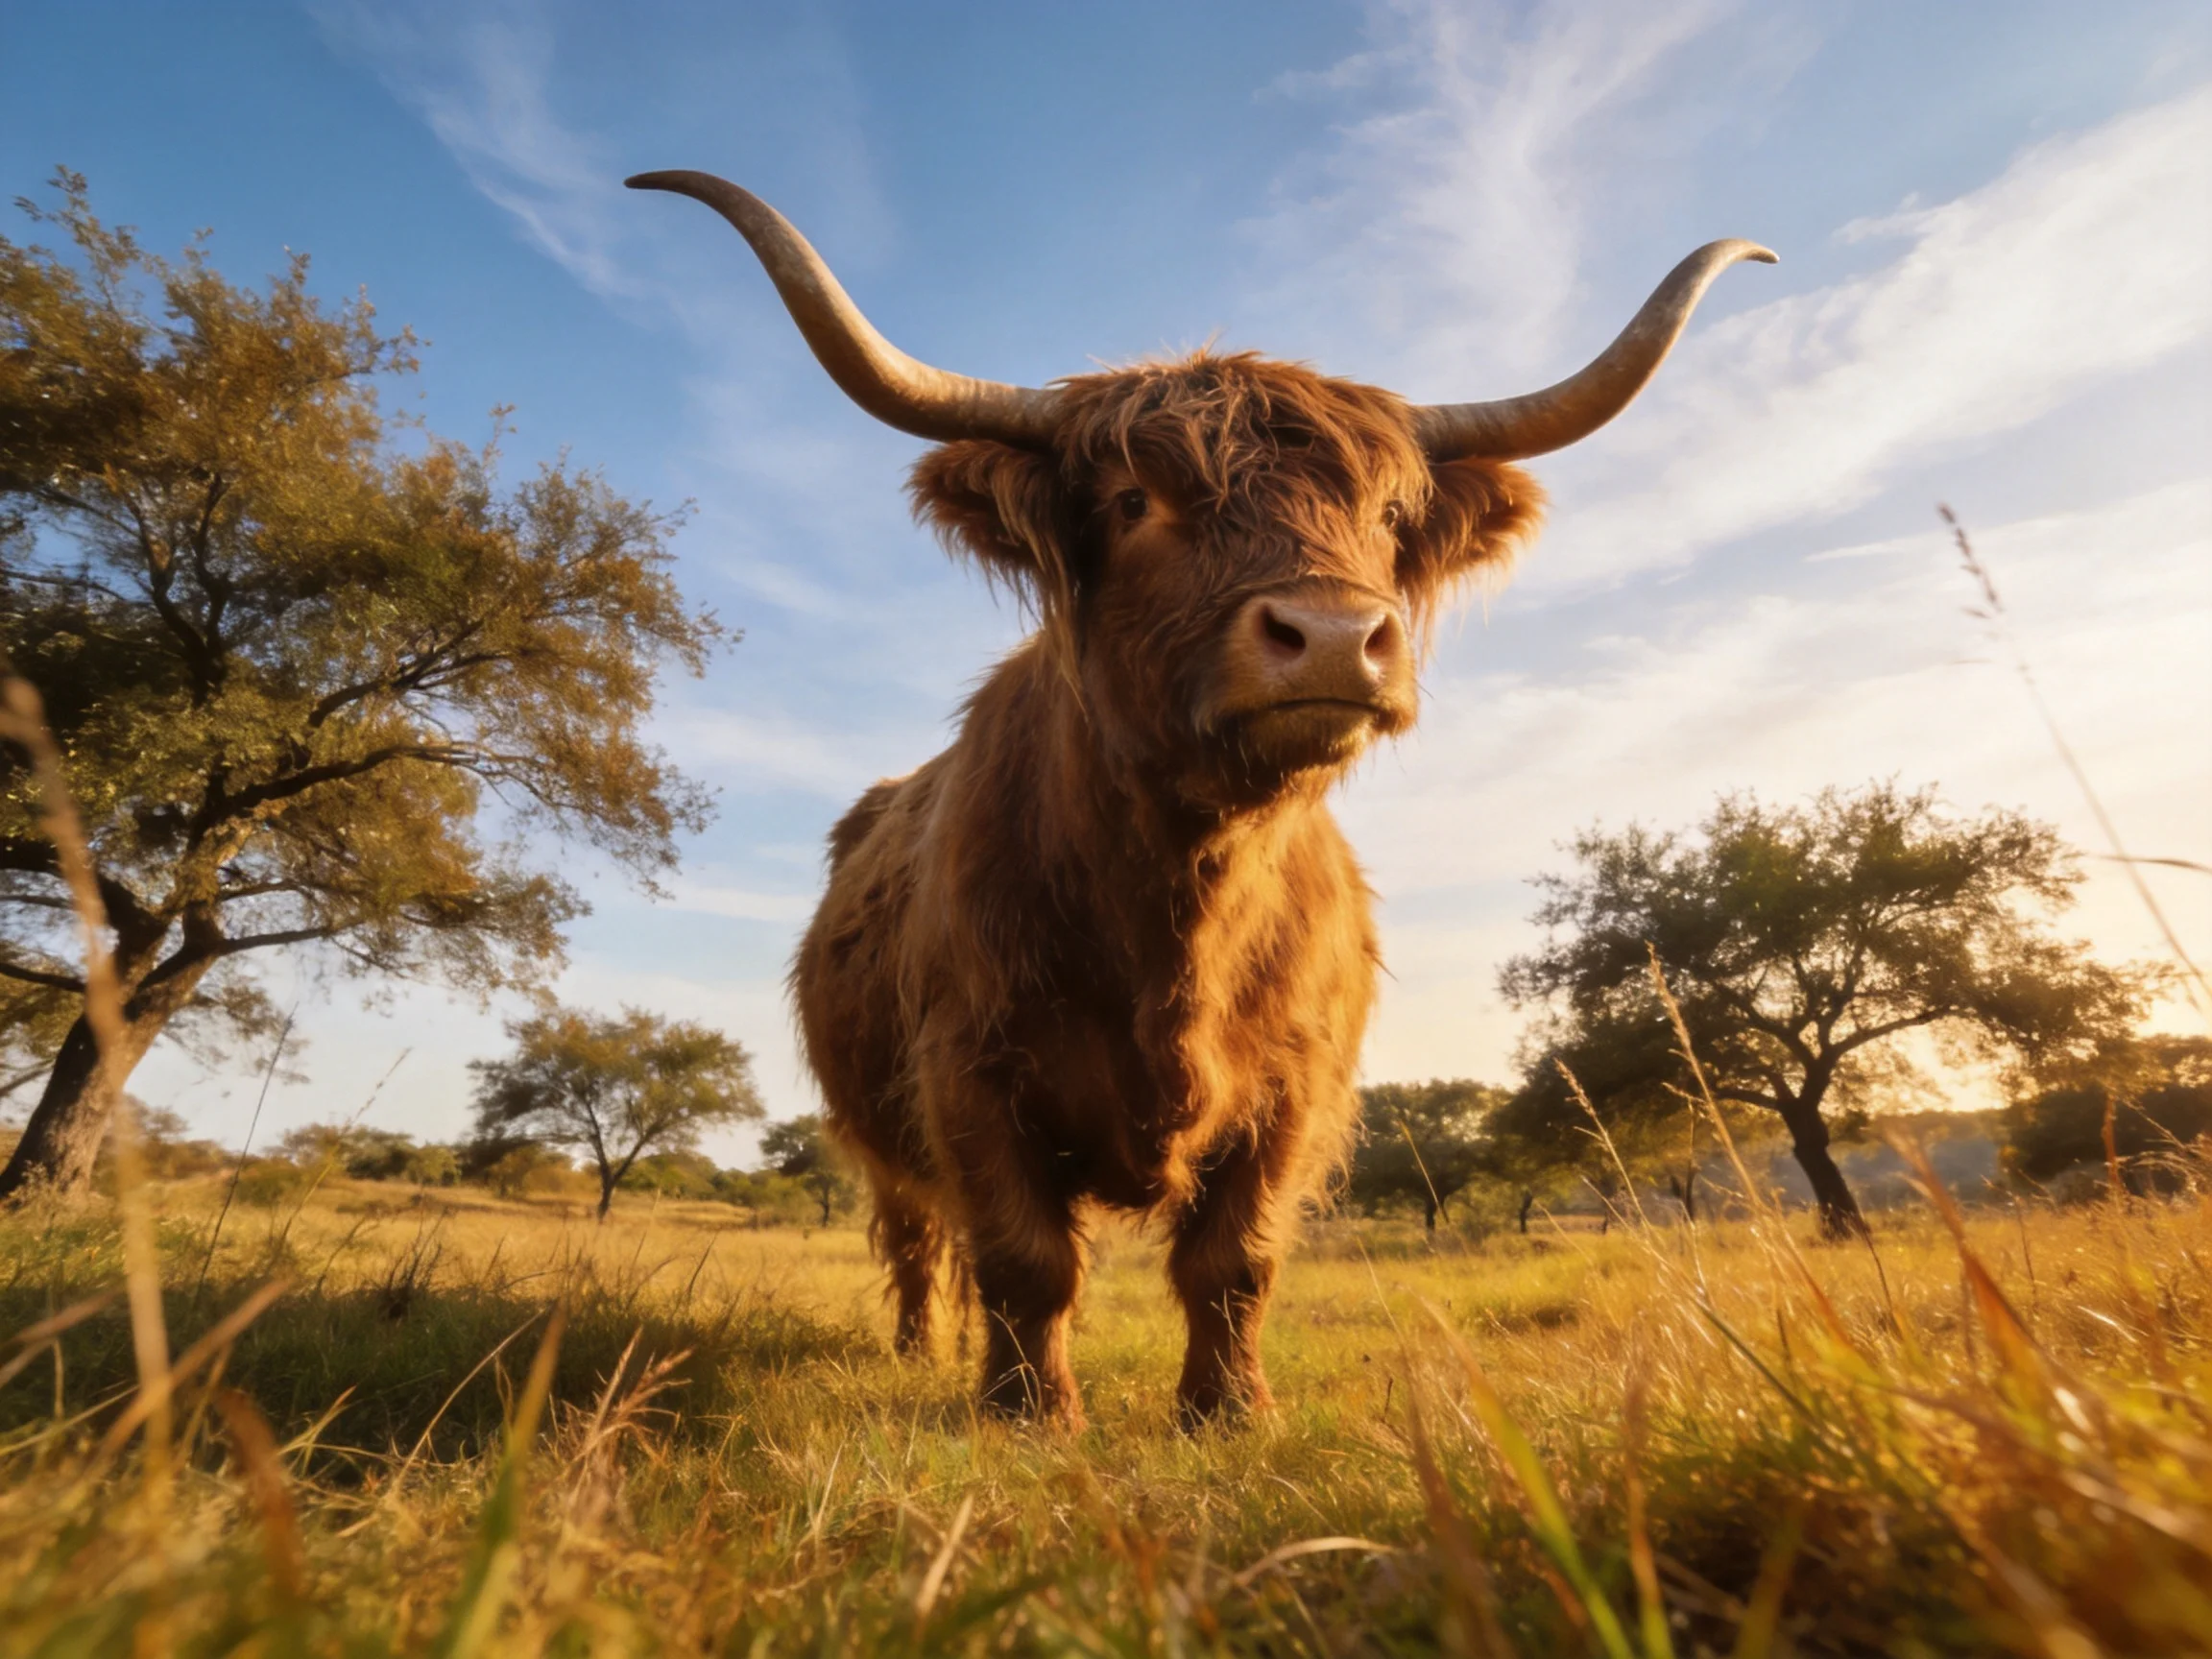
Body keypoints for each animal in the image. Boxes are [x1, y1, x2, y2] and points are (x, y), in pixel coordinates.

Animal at [630, 170, 1771, 1428]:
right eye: (1135, 502)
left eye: (1387, 517)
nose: (1334, 634)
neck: (1182, 894)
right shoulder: (967, 1068)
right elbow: (1026, 1253)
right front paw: (1030, 1414)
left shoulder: (1299, 1087)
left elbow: (1236, 1257)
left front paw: (1227, 1410)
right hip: (879, 1132)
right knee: (920, 1237)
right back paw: (927, 1357)